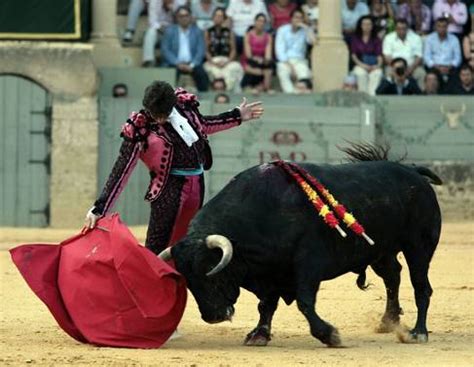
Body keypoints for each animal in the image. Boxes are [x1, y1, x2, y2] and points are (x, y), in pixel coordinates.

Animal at [160, 154, 444, 346]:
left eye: (210, 269)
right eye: (187, 279)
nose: (213, 316)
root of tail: (413, 172)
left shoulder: (308, 264)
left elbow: (304, 302)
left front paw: (330, 335)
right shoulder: (272, 271)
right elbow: (266, 305)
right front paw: (259, 334)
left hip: (419, 247)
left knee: (421, 286)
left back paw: (418, 332)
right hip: (381, 252)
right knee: (392, 276)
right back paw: (388, 321)